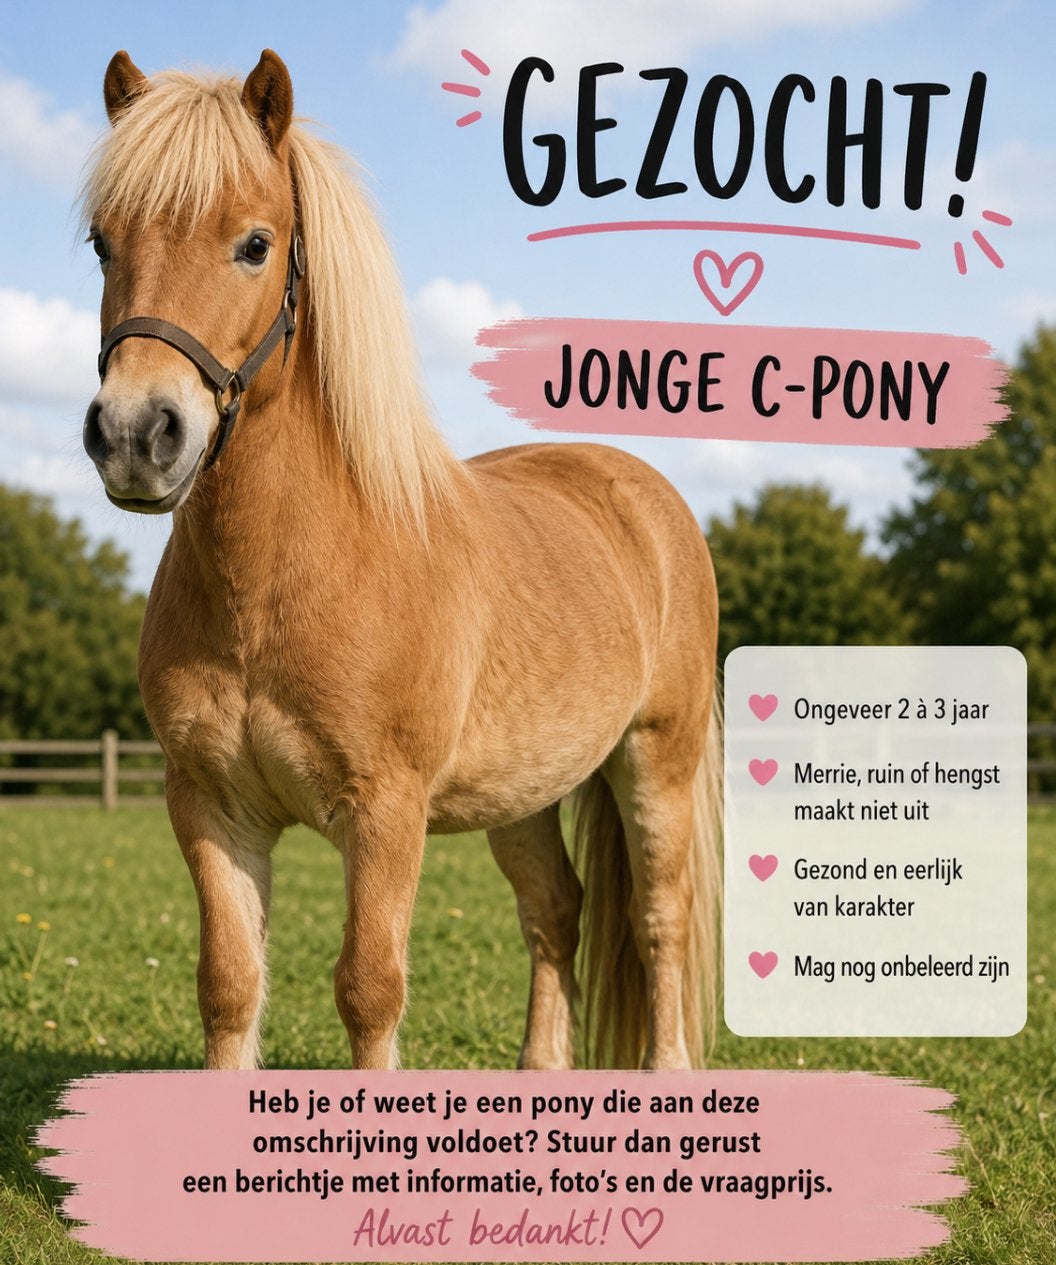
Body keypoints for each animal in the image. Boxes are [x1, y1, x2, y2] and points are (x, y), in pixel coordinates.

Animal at [80, 49, 721, 1072]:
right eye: (103, 243)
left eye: (254, 244)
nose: (138, 435)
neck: (284, 578)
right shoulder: (211, 806)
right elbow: (229, 985)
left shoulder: (385, 813)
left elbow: (369, 987)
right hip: (524, 793)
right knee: (557, 912)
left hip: (657, 758)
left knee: (660, 920)